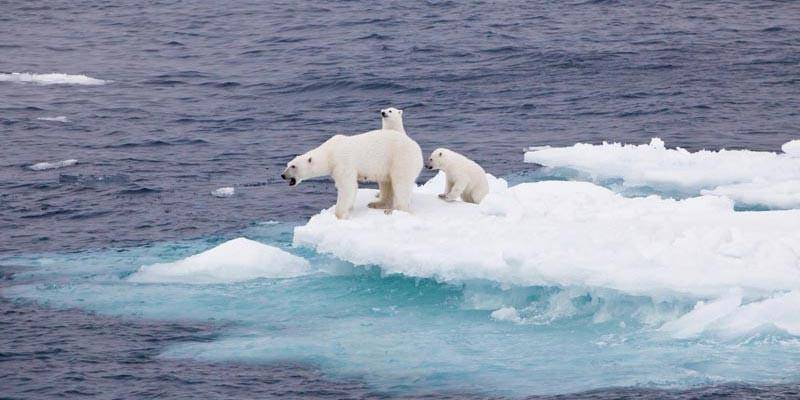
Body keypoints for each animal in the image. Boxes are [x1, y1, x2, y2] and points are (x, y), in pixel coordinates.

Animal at [282, 129, 422, 219]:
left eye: (293, 166)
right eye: (287, 164)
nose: (283, 175)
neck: (330, 152)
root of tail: (418, 151)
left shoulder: (342, 162)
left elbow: (346, 187)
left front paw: (339, 215)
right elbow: (352, 188)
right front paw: (349, 209)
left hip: (400, 158)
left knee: (401, 182)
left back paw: (394, 210)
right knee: (386, 182)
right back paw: (377, 204)